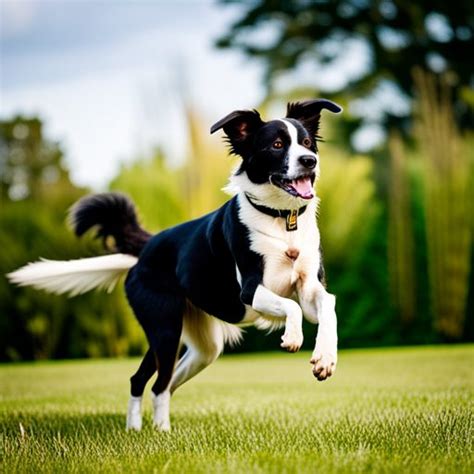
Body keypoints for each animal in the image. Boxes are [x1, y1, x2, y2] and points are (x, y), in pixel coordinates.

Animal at [7, 98, 340, 432]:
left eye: (307, 143)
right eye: (277, 144)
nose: (310, 161)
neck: (282, 220)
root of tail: (147, 247)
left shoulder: (309, 290)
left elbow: (327, 304)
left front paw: (325, 358)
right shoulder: (250, 290)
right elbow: (291, 306)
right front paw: (293, 337)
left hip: (199, 346)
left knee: (160, 383)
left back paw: (151, 428)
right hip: (164, 328)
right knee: (152, 383)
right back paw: (148, 431)